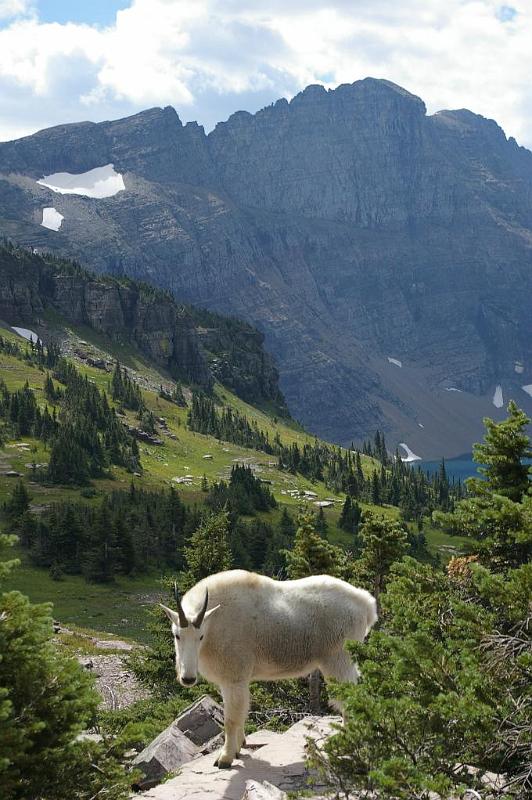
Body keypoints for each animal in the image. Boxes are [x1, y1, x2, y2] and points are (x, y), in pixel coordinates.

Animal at [160, 569, 377, 768]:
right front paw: (239, 747)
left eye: (200, 636)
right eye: (177, 635)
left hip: (338, 658)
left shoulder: (235, 676)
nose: (187, 679)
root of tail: (366, 604)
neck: (214, 623)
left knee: (349, 697)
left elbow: (231, 719)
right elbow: (239, 713)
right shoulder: (230, 680)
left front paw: (225, 758)